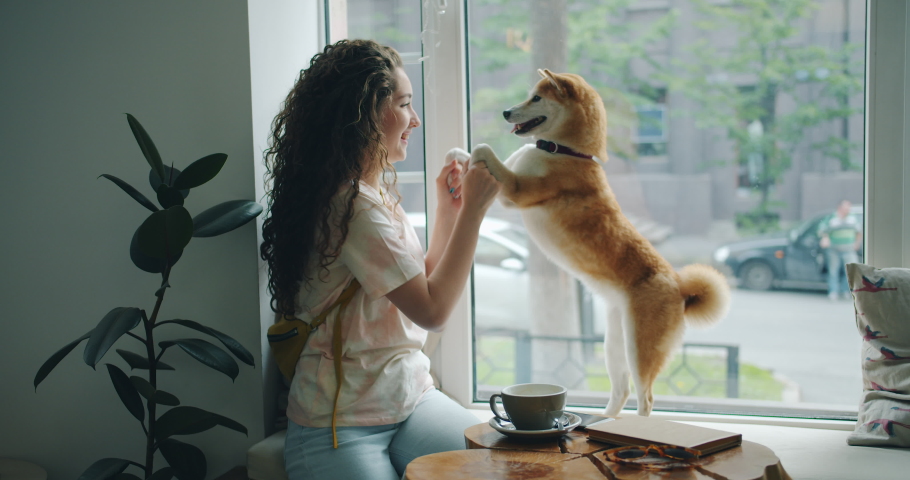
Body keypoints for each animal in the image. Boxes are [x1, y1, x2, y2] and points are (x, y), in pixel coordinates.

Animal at [450, 68, 732, 416]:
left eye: (536, 98)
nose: (505, 112)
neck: (564, 151)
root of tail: (681, 288)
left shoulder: (515, 191)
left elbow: (483, 148)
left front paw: (471, 159)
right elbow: (470, 153)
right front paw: (454, 158)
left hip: (639, 348)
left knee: (646, 398)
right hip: (615, 344)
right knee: (622, 391)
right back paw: (605, 421)